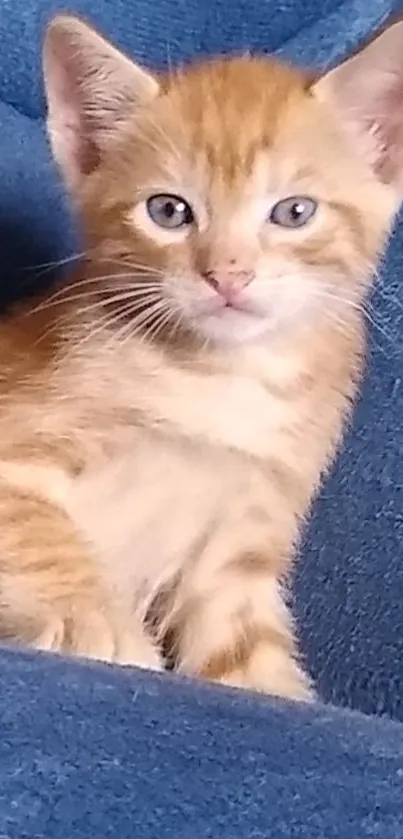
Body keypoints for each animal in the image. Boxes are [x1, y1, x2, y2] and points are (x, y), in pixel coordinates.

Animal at [0, 18, 403, 704]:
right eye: (168, 211)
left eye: (294, 211)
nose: (228, 274)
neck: (218, 377)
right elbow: (42, 534)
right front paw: (98, 622)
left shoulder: (237, 549)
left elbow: (245, 655)